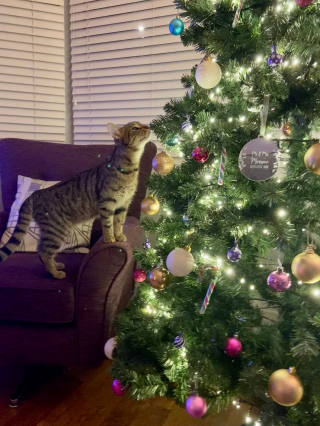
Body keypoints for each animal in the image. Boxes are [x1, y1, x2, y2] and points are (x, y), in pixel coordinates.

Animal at [0, 120, 152, 280]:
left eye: (141, 125)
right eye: (135, 128)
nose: (148, 126)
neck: (130, 168)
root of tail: (35, 194)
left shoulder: (123, 205)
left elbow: (119, 223)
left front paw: (119, 236)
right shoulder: (107, 204)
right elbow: (108, 224)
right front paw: (110, 238)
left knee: (41, 250)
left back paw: (55, 266)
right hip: (57, 230)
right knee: (44, 252)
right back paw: (56, 273)